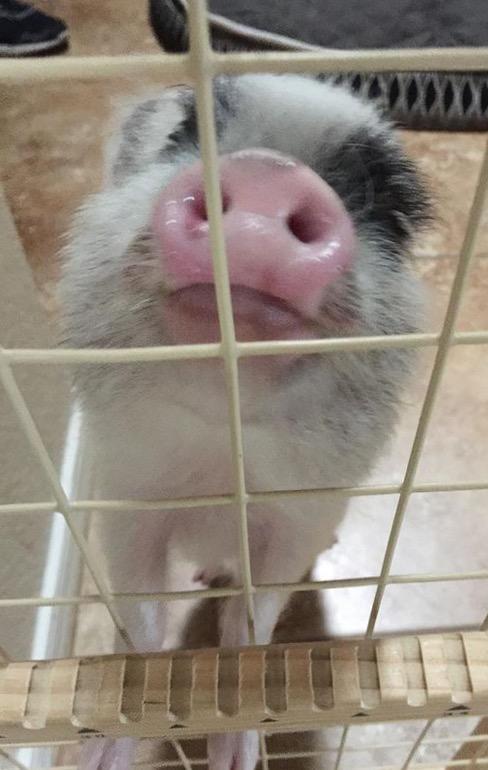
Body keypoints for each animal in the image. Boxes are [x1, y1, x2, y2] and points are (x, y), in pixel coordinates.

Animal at [59, 74, 430, 770]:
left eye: (377, 198)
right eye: (182, 136)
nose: (270, 172)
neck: (220, 455)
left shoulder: (299, 516)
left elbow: (255, 619)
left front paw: (236, 754)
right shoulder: (126, 501)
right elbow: (141, 617)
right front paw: (104, 755)